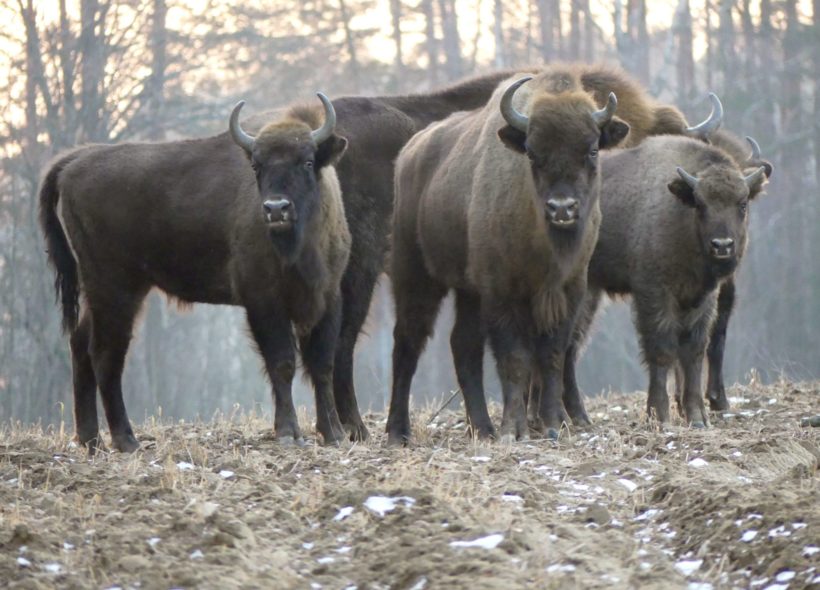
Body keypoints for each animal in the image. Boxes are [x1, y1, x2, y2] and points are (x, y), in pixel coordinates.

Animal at [37, 96, 350, 454]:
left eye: (308, 162)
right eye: (257, 166)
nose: (276, 209)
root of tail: (75, 161)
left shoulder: (328, 297)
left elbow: (322, 364)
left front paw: (334, 433)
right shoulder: (263, 301)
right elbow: (282, 363)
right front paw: (288, 433)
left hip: (109, 292)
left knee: (81, 343)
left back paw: (91, 440)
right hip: (115, 289)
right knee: (105, 354)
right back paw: (126, 440)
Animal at [564, 136, 768, 428]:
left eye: (742, 204)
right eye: (700, 204)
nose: (722, 245)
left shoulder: (700, 297)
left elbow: (693, 351)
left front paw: (697, 417)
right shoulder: (654, 292)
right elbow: (662, 350)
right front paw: (659, 415)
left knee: (568, 347)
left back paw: (574, 418)